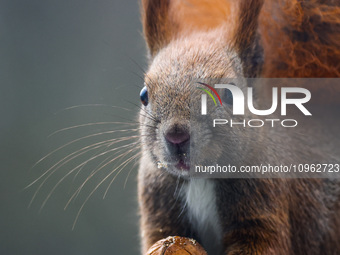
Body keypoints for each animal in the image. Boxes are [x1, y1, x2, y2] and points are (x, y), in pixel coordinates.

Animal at [137, 0, 338, 254]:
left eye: (230, 95)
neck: (200, 179)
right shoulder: (158, 206)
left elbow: (264, 243)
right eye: (144, 95)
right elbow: (161, 236)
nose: (176, 136)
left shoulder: (263, 206)